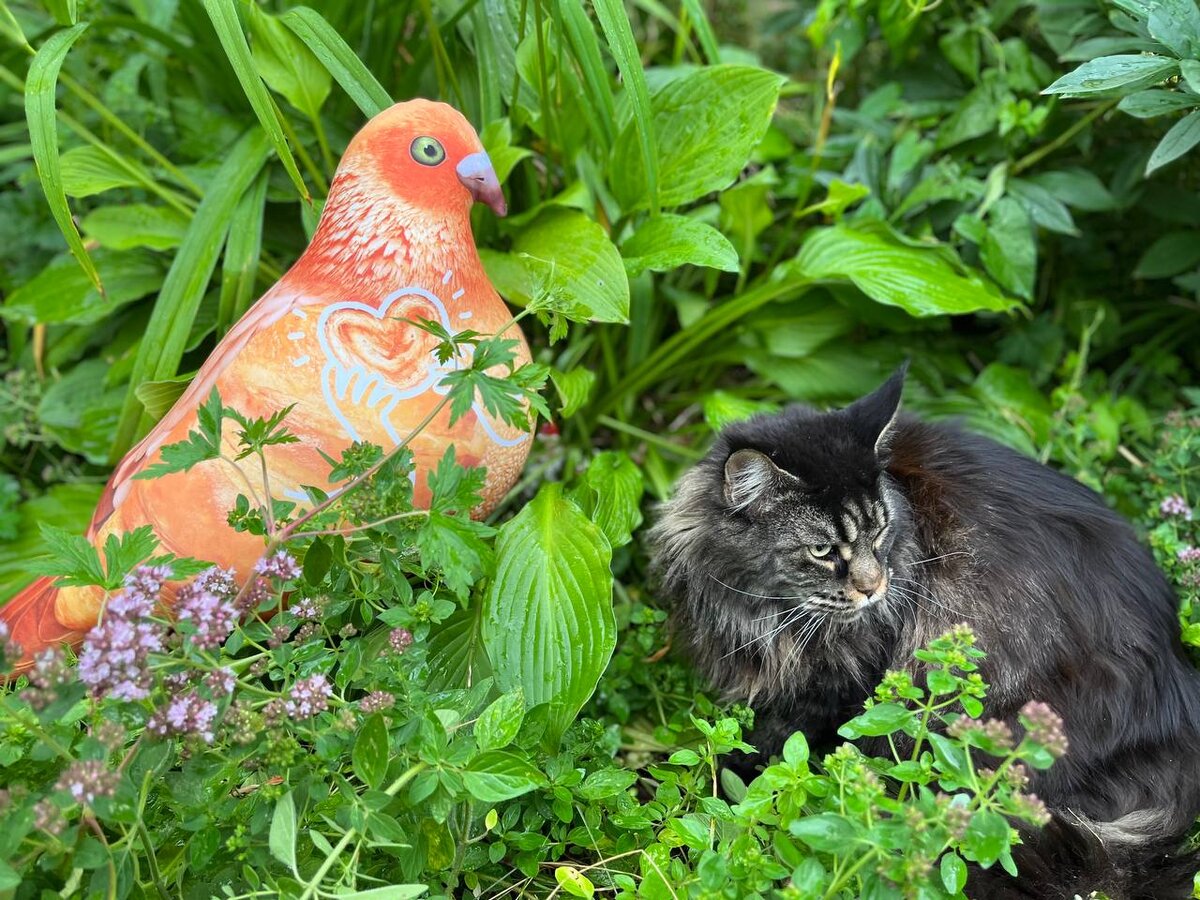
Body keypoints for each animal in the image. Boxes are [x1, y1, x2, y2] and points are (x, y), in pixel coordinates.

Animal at [652, 367, 1200, 900]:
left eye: (879, 531)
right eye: (823, 551)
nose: (874, 587)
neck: (764, 610)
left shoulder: (828, 695)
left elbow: (763, 759)